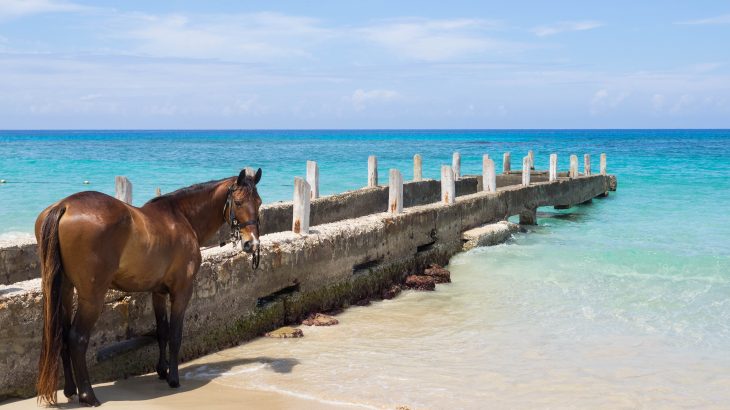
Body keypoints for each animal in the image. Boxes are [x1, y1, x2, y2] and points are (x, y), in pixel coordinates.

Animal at [34, 168, 262, 406]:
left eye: (259, 202)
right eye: (238, 202)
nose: (252, 244)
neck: (182, 217)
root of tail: (65, 206)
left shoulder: (158, 292)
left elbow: (162, 331)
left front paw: (162, 370)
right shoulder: (182, 291)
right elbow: (175, 334)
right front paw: (173, 378)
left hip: (65, 290)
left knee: (62, 336)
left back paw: (71, 390)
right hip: (92, 298)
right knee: (77, 339)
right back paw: (88, 395)